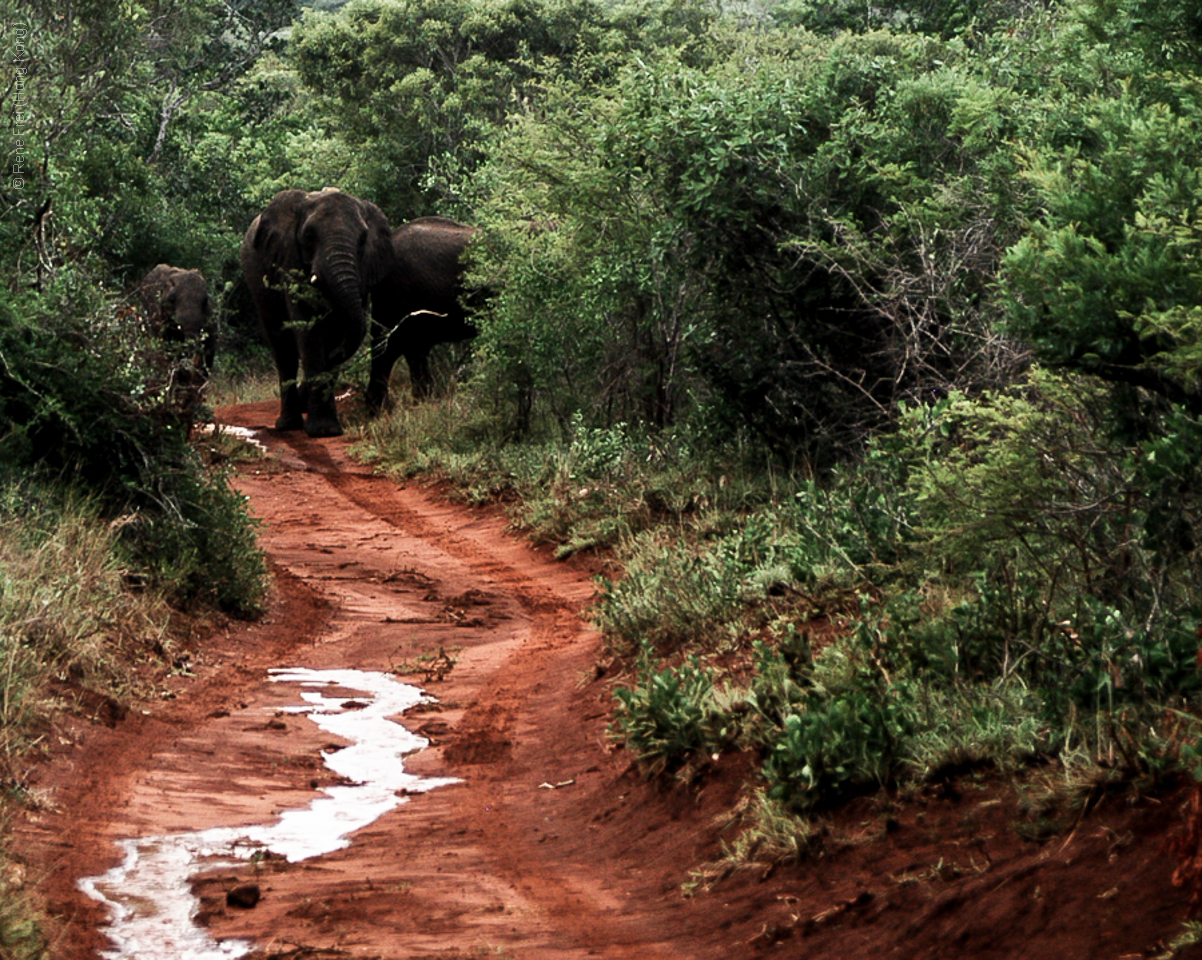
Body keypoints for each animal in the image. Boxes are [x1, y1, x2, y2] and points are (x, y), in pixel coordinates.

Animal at [240, 187, 394, 434]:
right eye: (309, 237)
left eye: (362, 240)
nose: (335, 354)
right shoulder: (289, 258)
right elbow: (308, 331)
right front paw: (323, 431)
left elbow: (341, 327)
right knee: (282, 346)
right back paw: (287, 425)